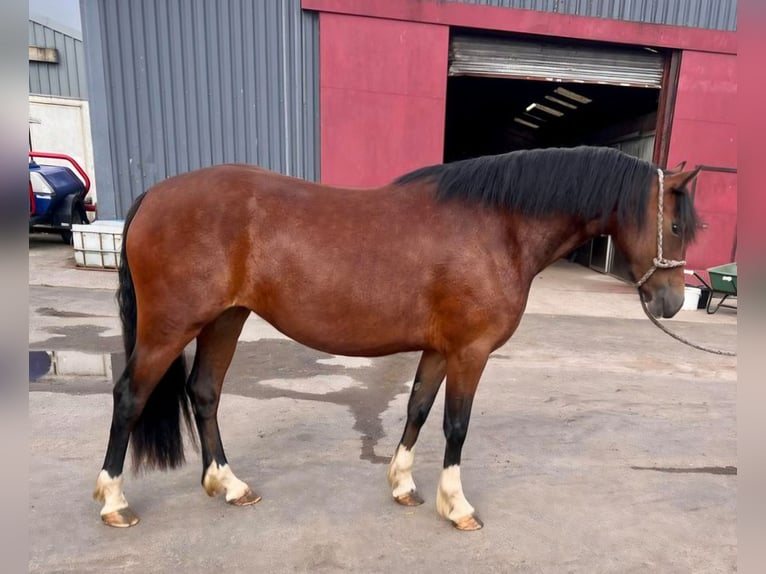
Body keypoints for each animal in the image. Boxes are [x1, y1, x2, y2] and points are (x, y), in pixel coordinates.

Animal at [91, 147, 704, 532]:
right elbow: (456, 425)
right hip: (171, 328)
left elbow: (417, 410)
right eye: (675, 226)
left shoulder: (438, 349)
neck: (498, 226)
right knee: (130, 398)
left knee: (204, 393)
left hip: (226, 320)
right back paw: (114, 502)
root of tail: (154, 196)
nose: (672, 301)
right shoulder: (470, 353)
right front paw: (456, 506)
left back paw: (229, 484)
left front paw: (403, 485)